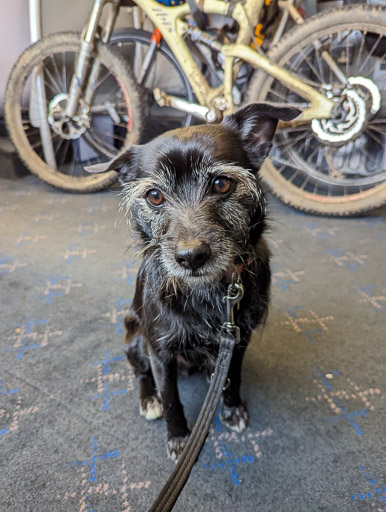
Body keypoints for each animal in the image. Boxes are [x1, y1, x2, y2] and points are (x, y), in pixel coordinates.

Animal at [87, 103, 298, 460]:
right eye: (155, 196)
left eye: (222, 184)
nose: (191, 256)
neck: (207, 291)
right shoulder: (160, 351)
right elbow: (172, 398)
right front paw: (179, 438)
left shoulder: (237, 340)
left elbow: (234, 377)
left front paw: (232, 408)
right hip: (135, 339)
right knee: (140, 373)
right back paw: (149, 399)